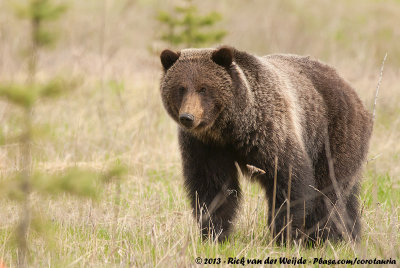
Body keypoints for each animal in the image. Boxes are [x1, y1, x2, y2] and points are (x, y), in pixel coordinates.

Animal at [159, 46, 372, 245]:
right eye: (181, 88)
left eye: (203, 88)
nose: (188, 117)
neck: (231, 128)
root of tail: (349, 87)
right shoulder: (205, 146)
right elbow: (212, 188)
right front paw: (214, 233)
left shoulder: (269, 131)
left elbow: (288, 180)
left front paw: (285, 234)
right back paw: (349, 235)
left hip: (332, 132)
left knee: (330, 187)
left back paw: (325, 236)